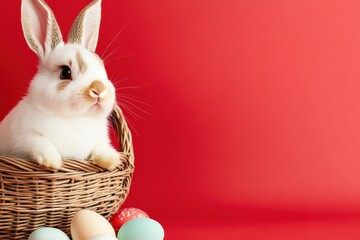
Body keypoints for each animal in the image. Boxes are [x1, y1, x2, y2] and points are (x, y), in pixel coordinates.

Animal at [0, 0, 121, 171]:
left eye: (101, 67)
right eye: (65, 72)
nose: (99, 89)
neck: (74, 118)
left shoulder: (99, 141)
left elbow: (101, 147)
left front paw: (110, 160)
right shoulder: (24, 137)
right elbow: (40, 143)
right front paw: (52, 162)